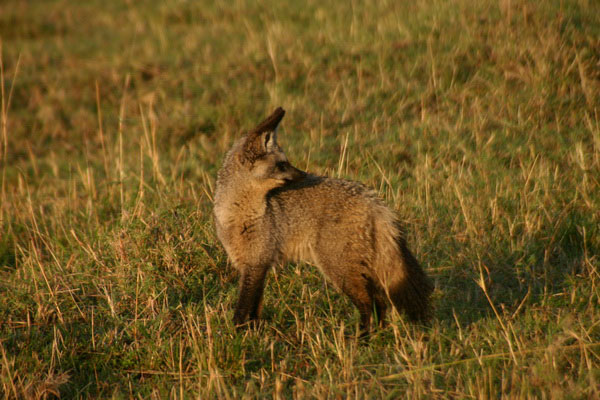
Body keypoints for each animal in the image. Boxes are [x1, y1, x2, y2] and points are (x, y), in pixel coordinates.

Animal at [213, 107, 433, 335]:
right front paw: (253, 331)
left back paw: (361, 337)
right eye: (282, 165)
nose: (306, 175)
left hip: (339, 269)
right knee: (379, 303)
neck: (238, 214)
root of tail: (372, 198)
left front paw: (236, 333)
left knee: (369, 303)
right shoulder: (251, 264)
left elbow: (243, 306)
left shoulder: (256, 263)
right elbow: (253, 306)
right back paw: (375, 334)